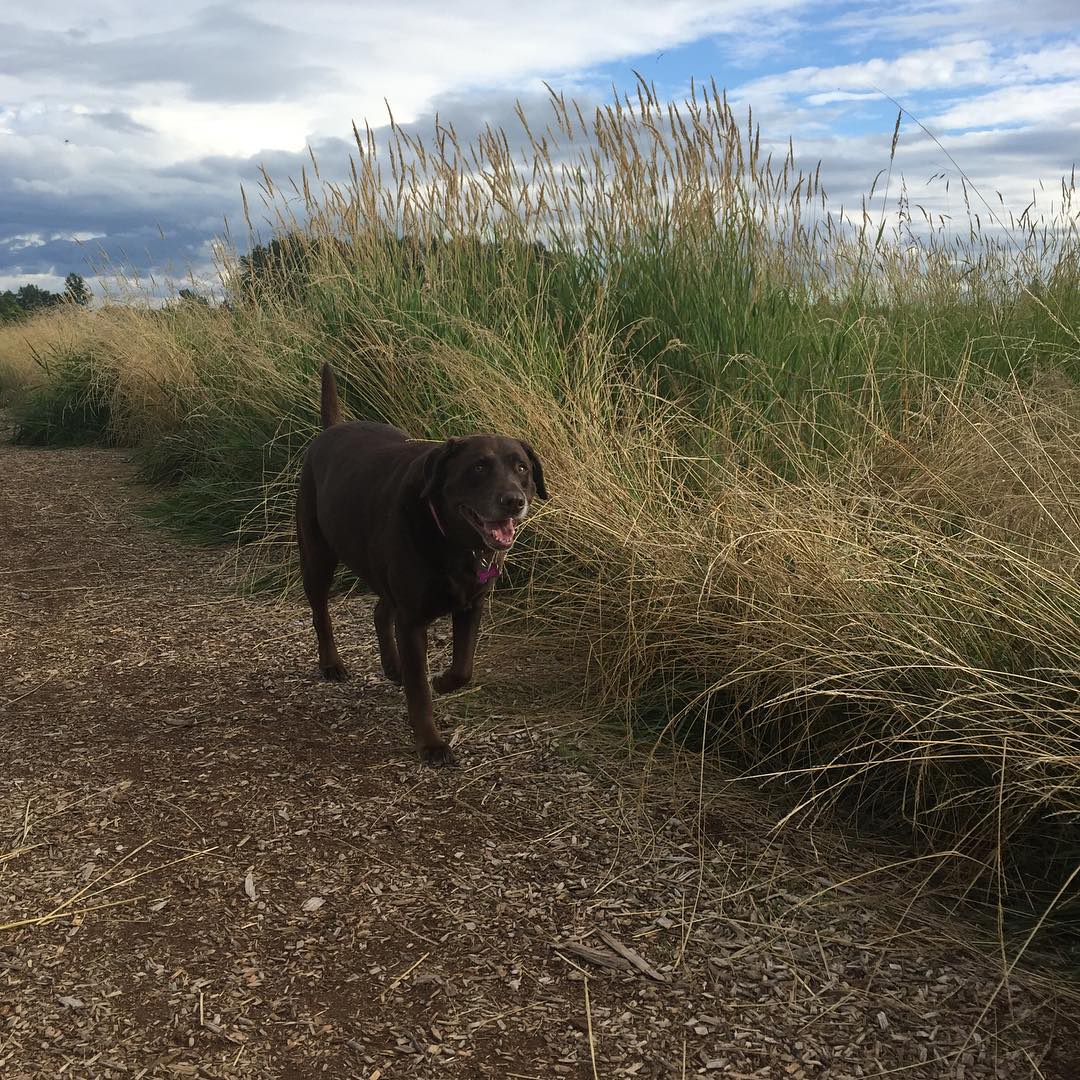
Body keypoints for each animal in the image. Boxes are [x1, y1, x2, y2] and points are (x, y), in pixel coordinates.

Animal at [295, 364, 547, 766]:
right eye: (478, 467)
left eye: (521, 467)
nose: (513, 500)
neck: (454, 542)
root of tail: (331, 429)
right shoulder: (412, 619)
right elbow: (419, 692)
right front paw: (431, 743)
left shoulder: (472, 604)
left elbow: (463, 667)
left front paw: (442, 681)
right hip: (317, 555)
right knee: (321, 612)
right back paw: (331, 663)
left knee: (381, 611)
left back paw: (393, 665)